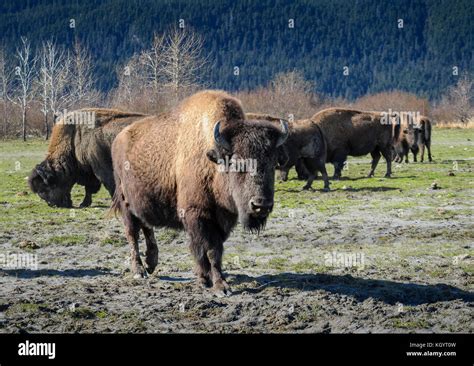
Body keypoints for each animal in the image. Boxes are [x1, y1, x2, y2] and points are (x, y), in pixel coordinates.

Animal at [111, 90, 288, 296]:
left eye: (273, 163)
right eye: (238, 163)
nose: (261, 205)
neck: (213, 162)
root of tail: (118, 139)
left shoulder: (222, 220)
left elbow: (215, 251)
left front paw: (209, 279)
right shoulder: (197, 215)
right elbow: (207, 250)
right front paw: (218, 285)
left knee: (146, 227)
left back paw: (151, 263)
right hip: (126, 204)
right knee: (133, 233)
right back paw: (139, 271)